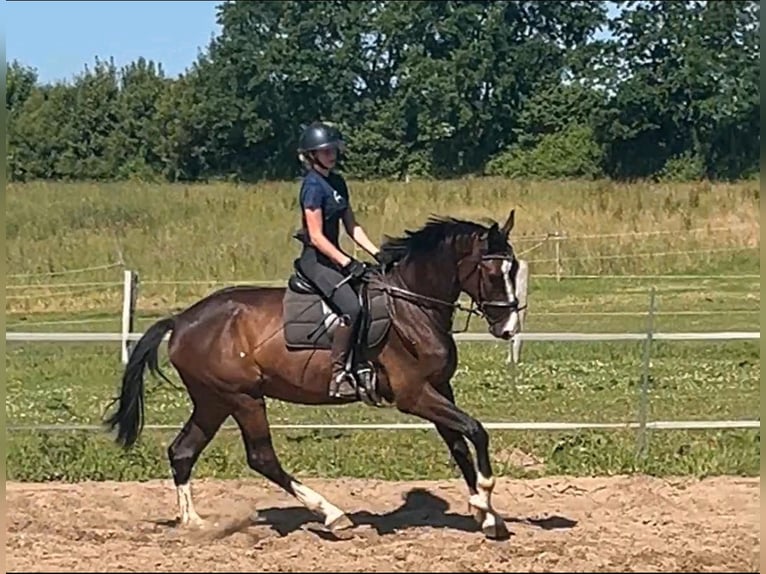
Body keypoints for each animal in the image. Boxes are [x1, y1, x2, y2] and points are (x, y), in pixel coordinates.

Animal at [103, 208, 524, 540]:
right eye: (491, 272)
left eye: (515, 268)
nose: (508, 329)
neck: (411, 307)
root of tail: (181, 320)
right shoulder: (414, 395)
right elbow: (475, 431)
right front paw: (485, 496)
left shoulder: (439, 388)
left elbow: (459, 444)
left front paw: (486, 515)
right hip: (243, 398)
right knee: (261, 458)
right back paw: (333, 515)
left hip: (213, 401)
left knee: (183, 451)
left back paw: (195, 524)